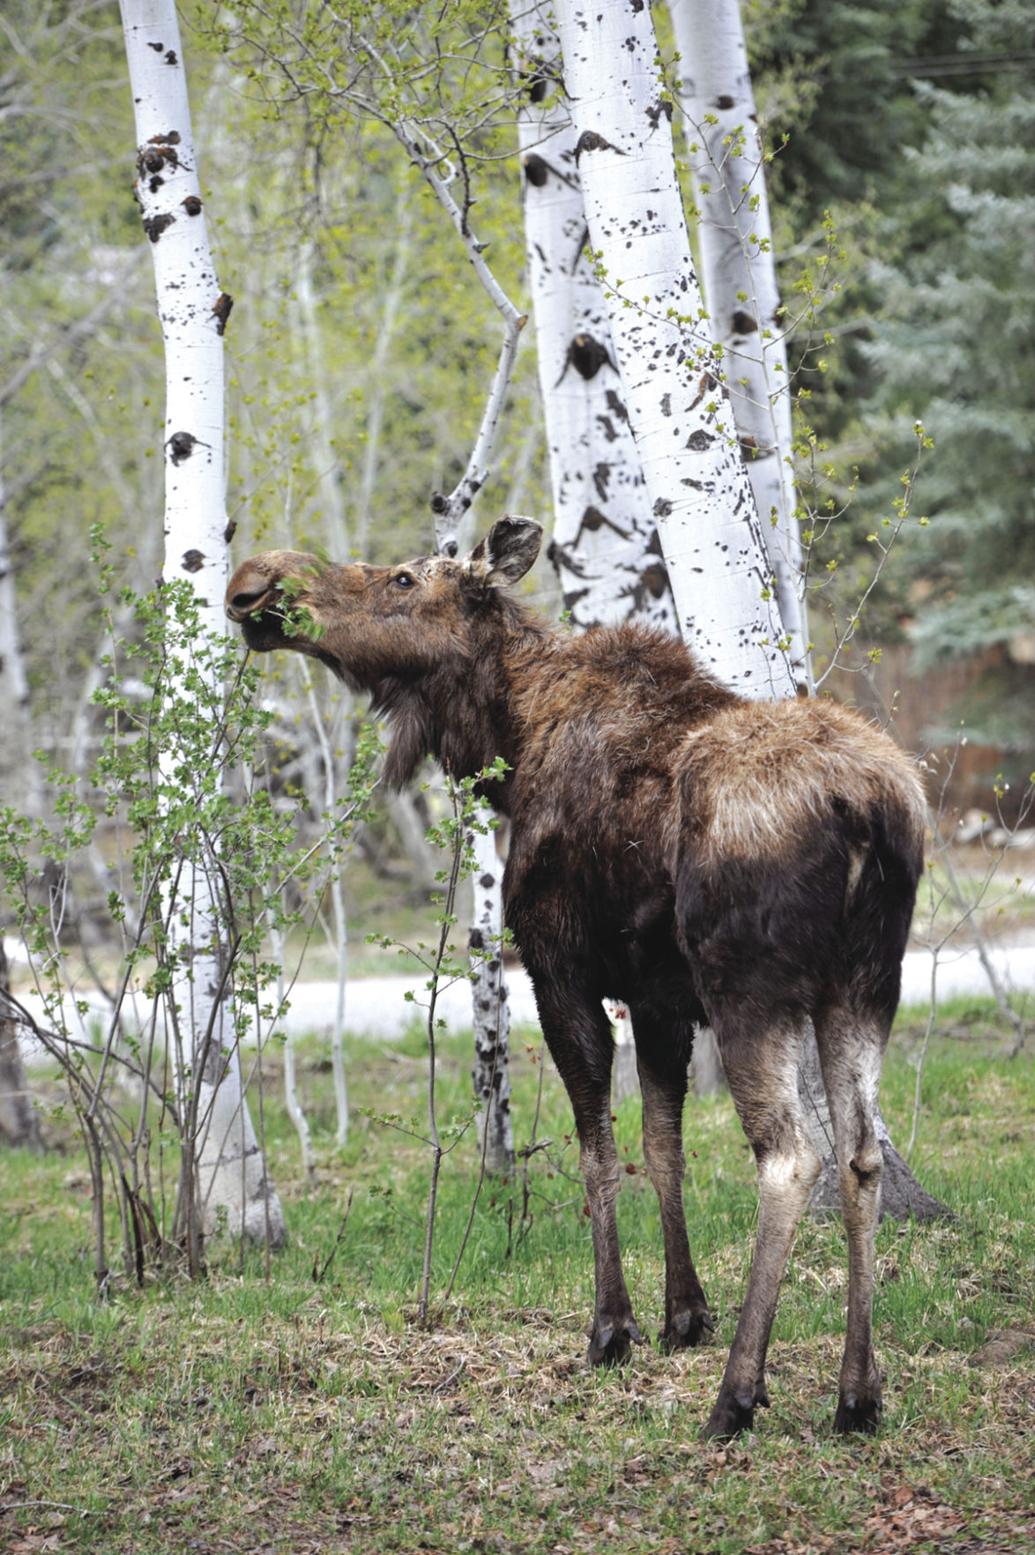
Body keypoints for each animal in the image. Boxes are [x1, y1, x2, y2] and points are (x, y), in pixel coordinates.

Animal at [225, 515, 925, 1439]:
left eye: (404, 578)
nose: (255, 585)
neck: (507, 736)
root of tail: (867, 810)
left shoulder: (558, 967)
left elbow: (596, 1153)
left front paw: (611, 1327)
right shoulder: (658, 995)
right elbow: (660, 1146)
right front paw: (682, 1313)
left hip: (749, 987)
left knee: (790, 1157)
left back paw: (736, 1395)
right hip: (865, 983)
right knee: (859, 1155)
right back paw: (857, 1393)